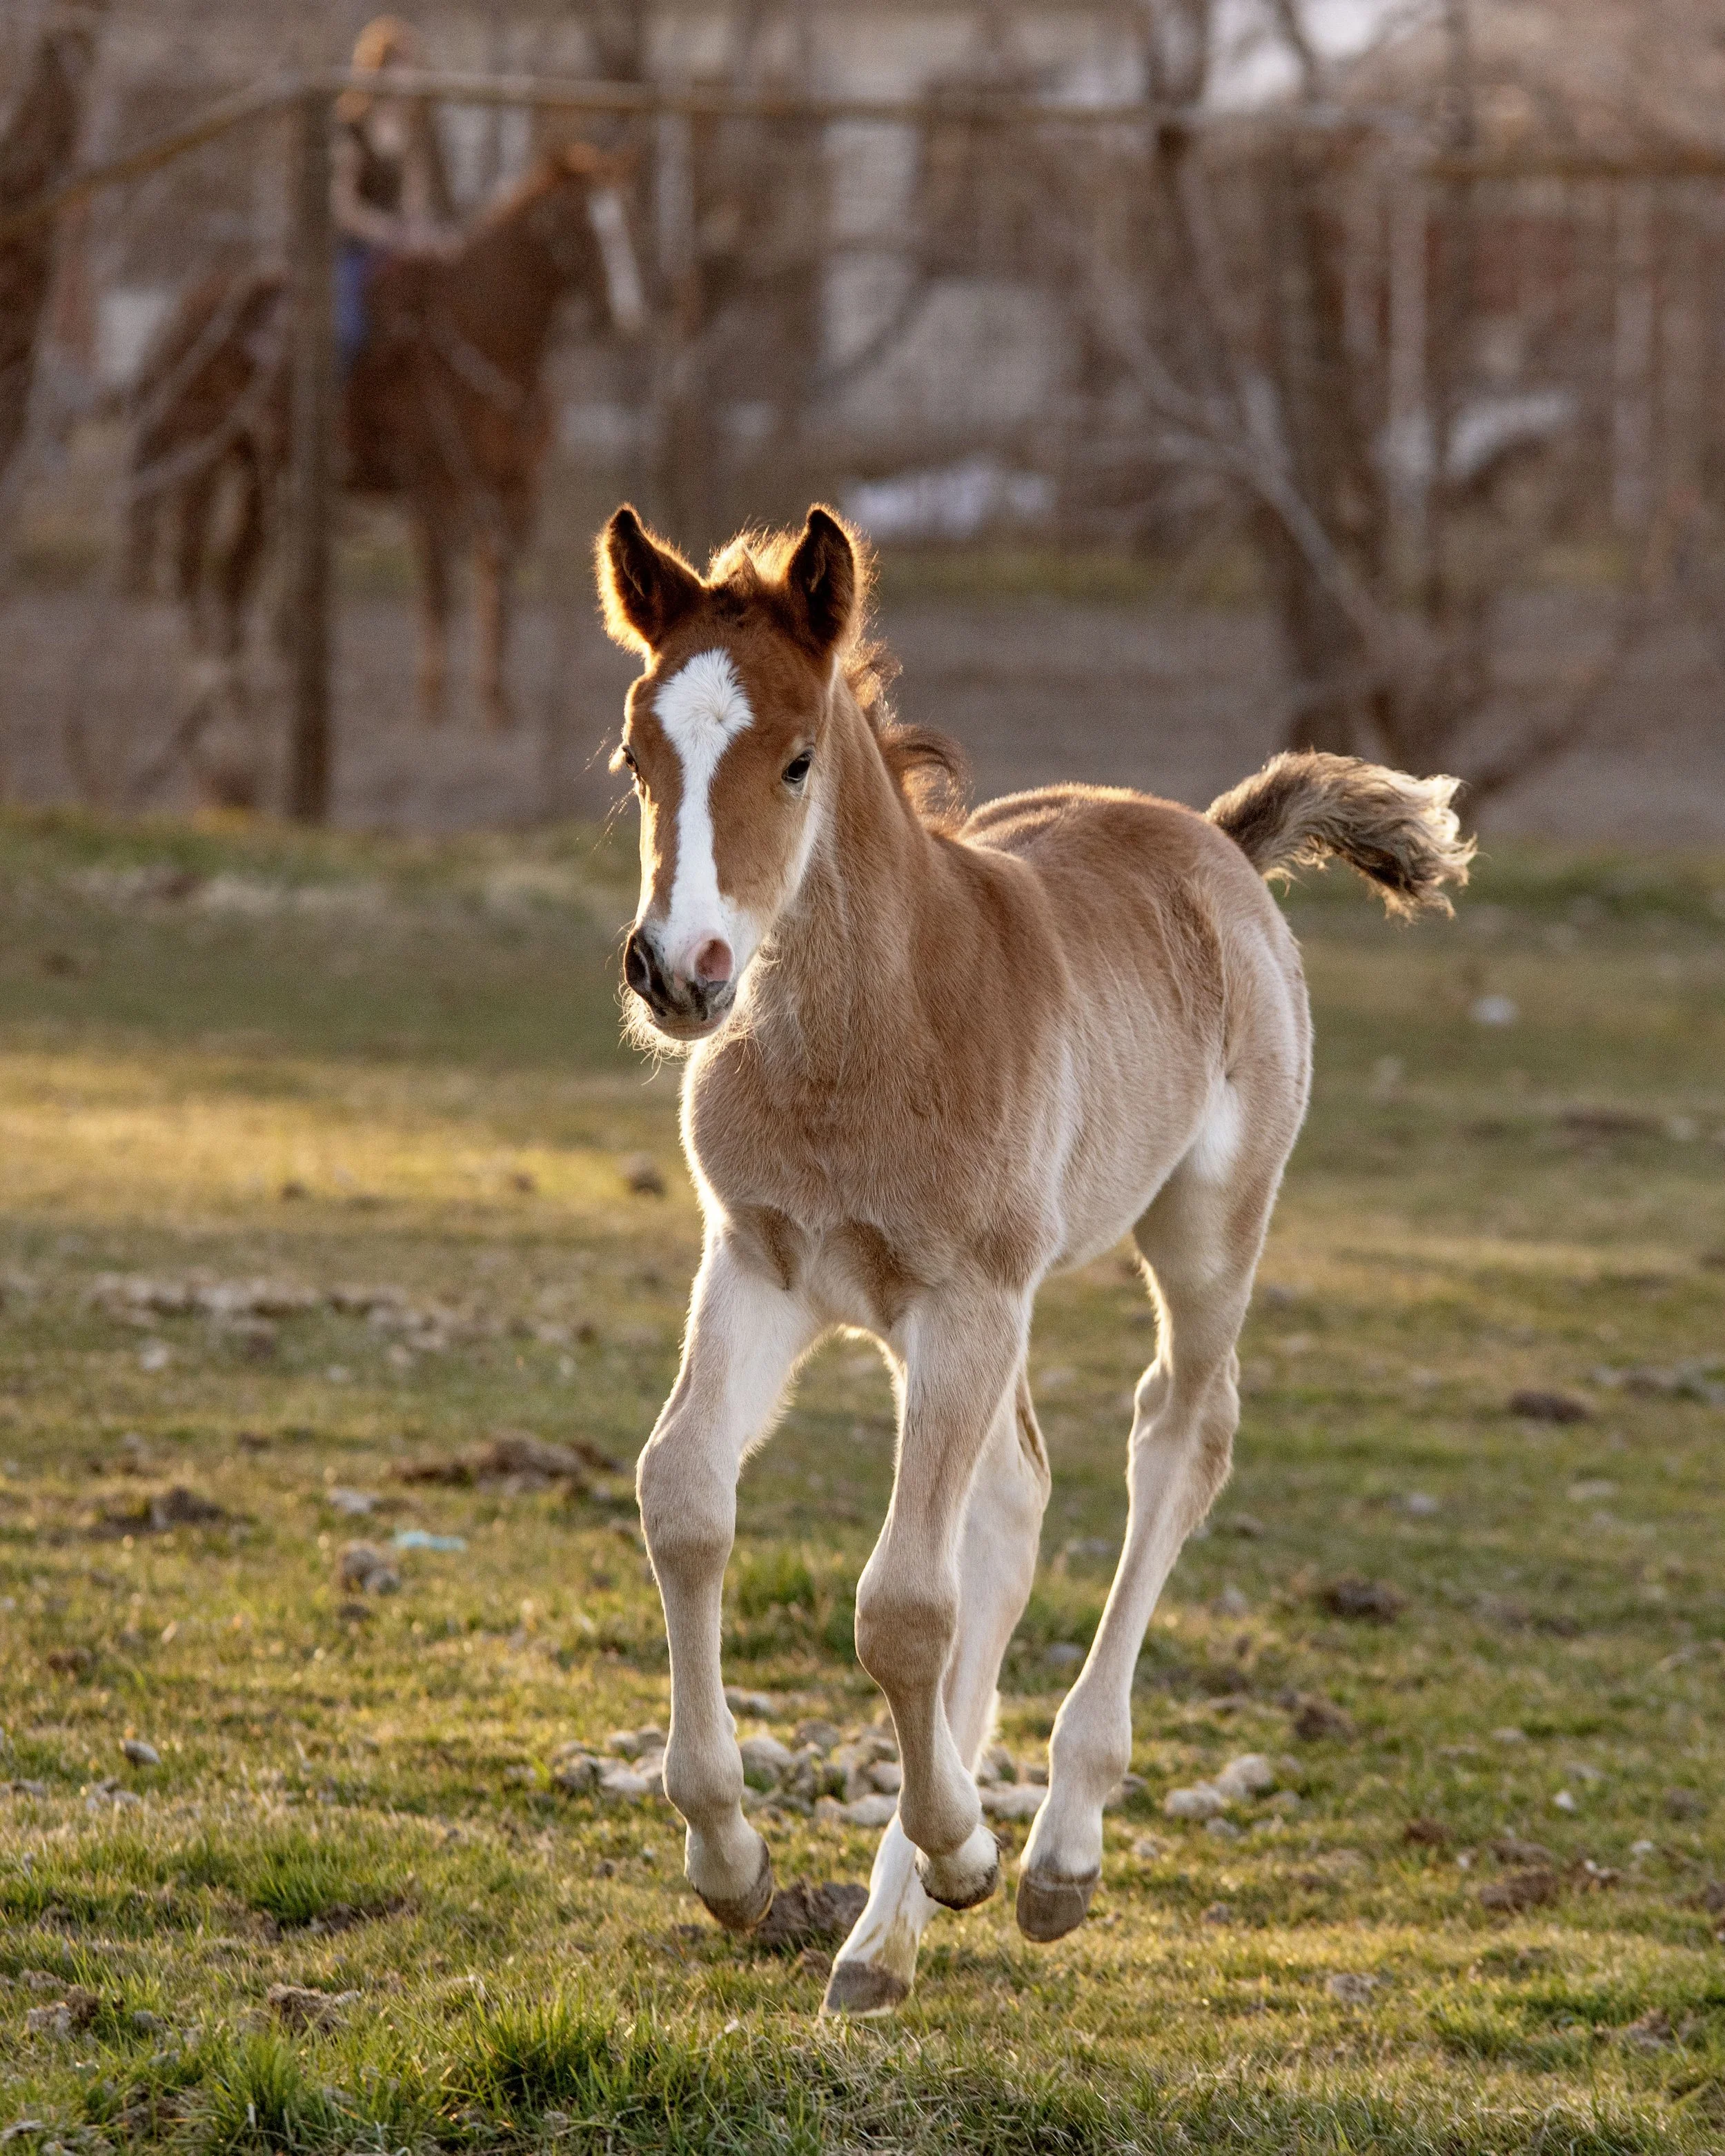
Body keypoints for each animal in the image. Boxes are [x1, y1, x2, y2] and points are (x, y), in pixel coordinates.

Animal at [126, 141, 645, 734]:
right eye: (577, 221)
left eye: (623, 217)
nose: (625, 315)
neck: (481, 335)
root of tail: (187, 314)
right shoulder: (434, 486)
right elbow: (439, 588)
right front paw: (434, 702)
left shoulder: (512, 489)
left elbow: (499, 588)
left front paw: (496, 704)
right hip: (202, 457)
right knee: (192, 565)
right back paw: (211, 690)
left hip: (260, 474)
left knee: (233, 572)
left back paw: (238, 699)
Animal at [595, 502, 1472, 2015]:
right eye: (639, 757)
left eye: (795, 757)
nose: (679, 970)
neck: (859, 1041)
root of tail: (1216, 839)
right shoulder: (762, 1267)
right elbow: (684, 1498)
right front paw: (732, 1858)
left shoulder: (964, 1295)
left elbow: (899, 1604)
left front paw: (962, 1849)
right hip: (954, 1315)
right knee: (1011, 1499)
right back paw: (878, 1941)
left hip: (1199, 1234)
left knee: (1174, 1439)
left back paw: (1055, 1848)